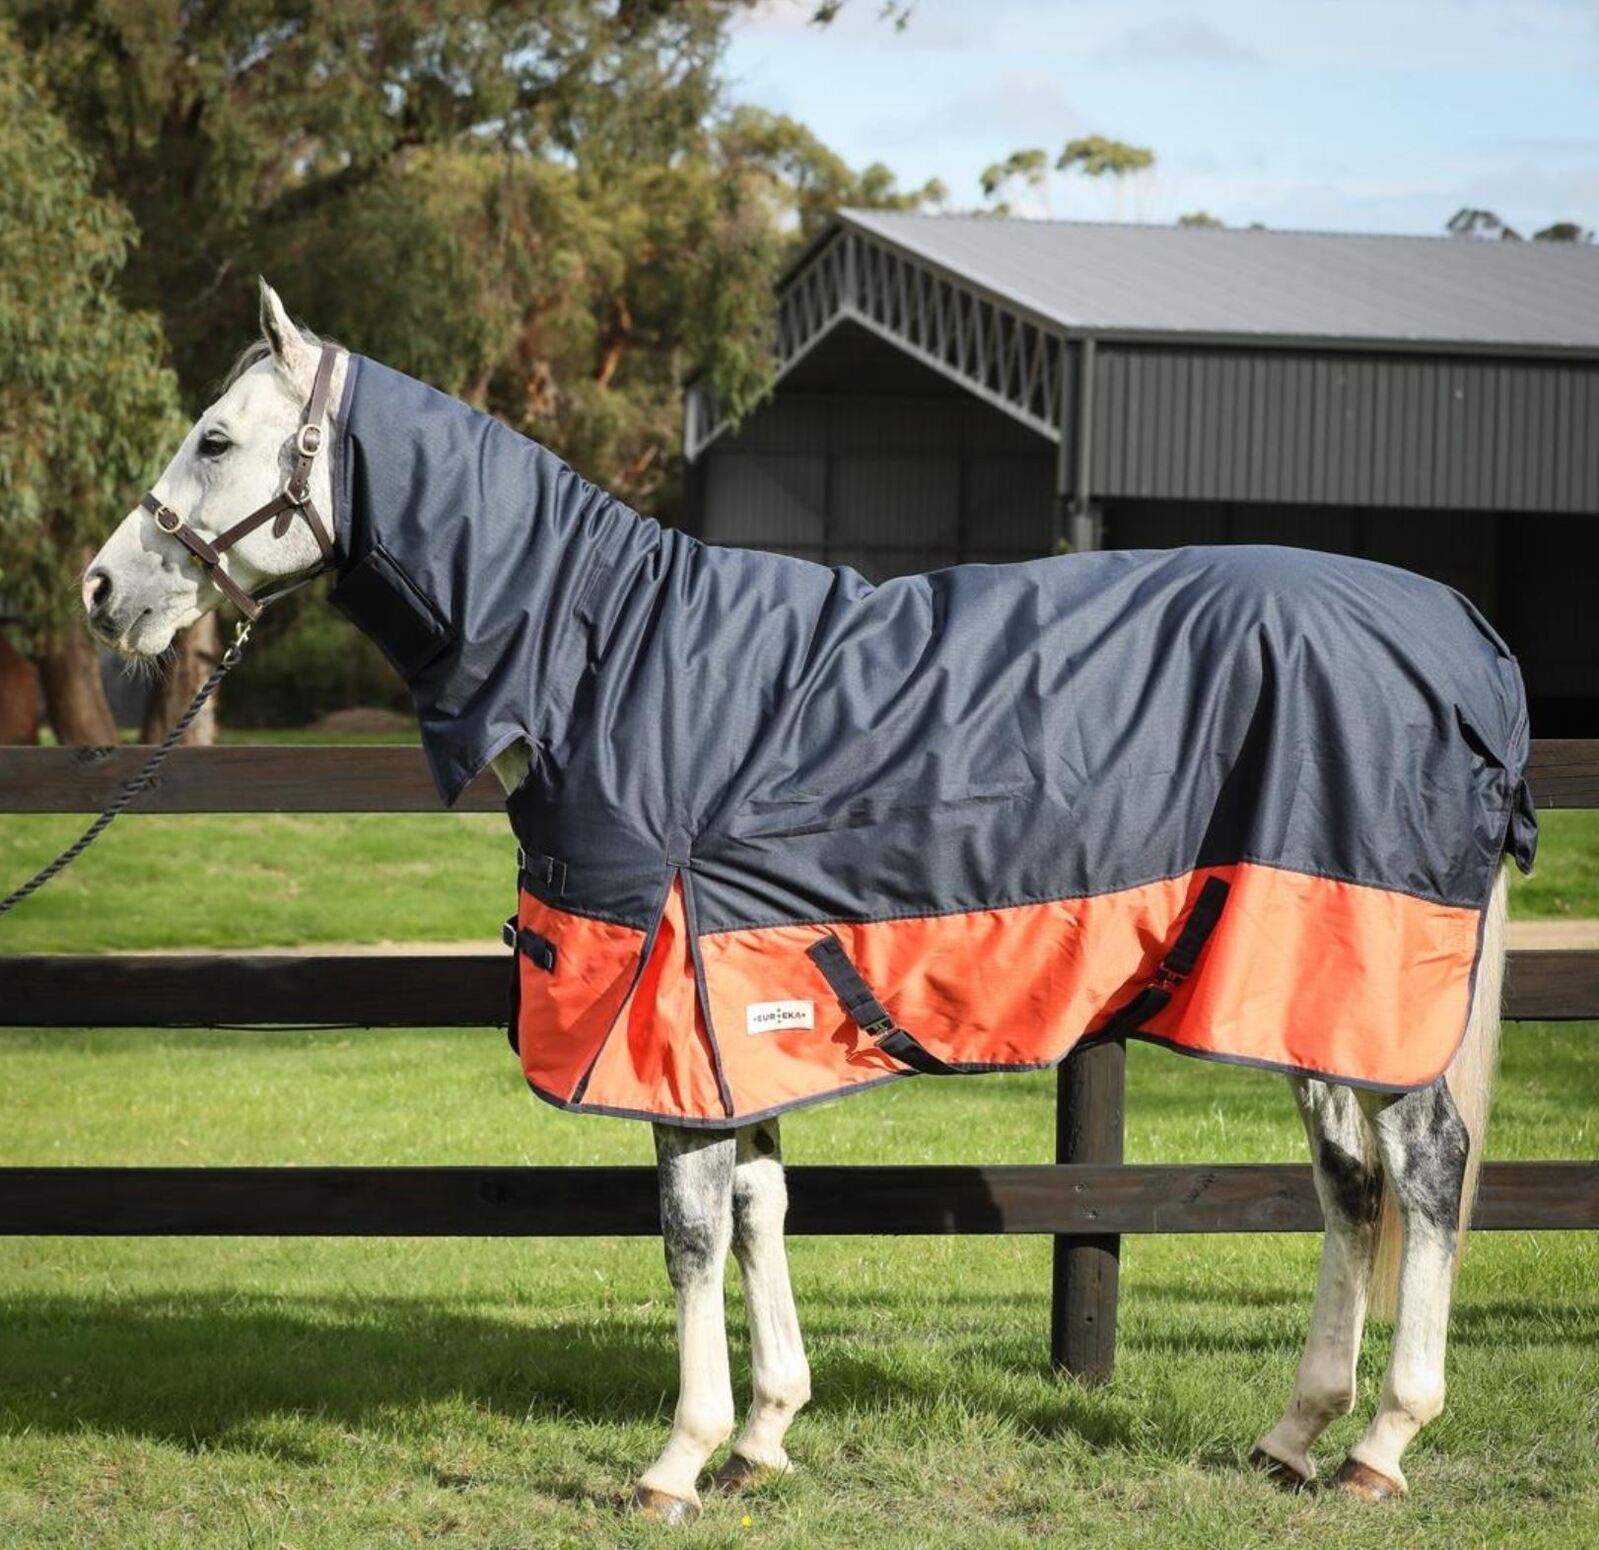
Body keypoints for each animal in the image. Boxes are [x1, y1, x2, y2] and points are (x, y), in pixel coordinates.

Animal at [83, 280, 1532, 1520]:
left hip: (1363, 963)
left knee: (1423, 1170)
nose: (103, 587)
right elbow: (757, 1207)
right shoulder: (732, 996)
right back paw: (1295, 1433)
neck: (607, 662)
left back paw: (1383, 1440)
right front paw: (767, 1432)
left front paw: (678, 1456)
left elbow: (686, 1230)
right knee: (1351, 1187)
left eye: (215, 435)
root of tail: (1466, 640)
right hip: (1303, 984)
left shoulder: (661, 1007)